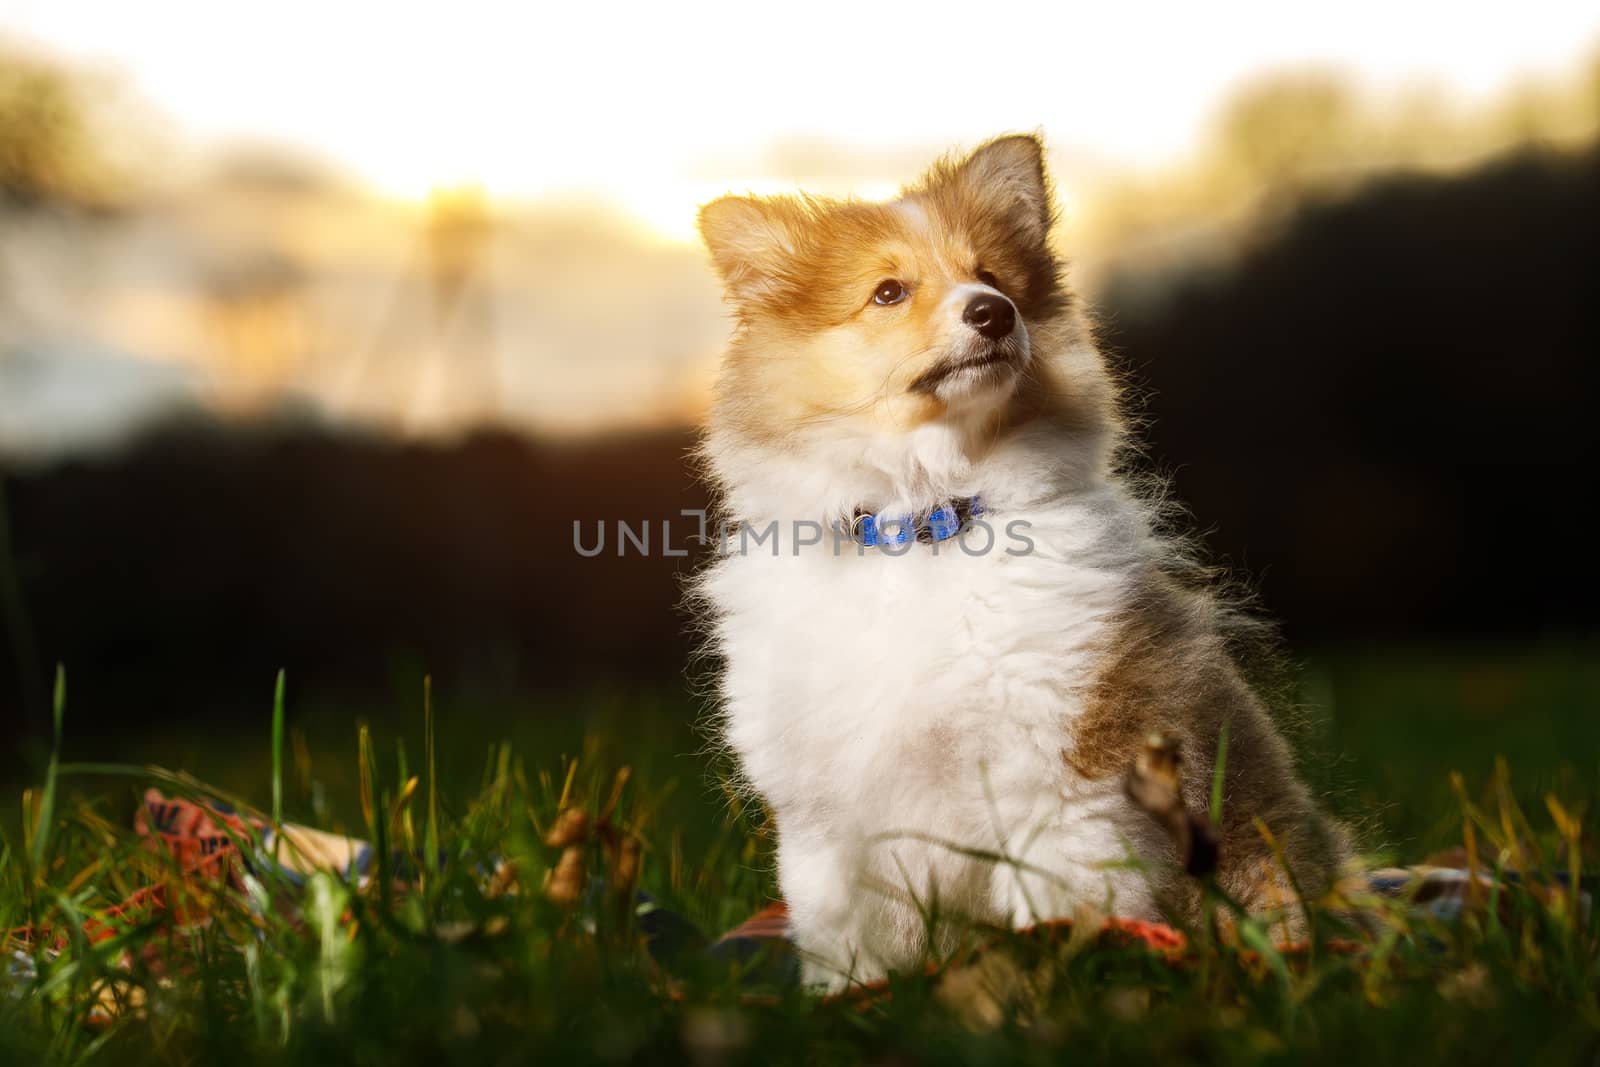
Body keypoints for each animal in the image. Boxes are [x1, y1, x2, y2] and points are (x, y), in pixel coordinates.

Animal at [694, 133, 1344, 991]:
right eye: (888, 292)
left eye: (994, 277)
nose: (992, 312)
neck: (926, 525)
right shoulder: (831, 820)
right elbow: (848, 940)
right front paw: (852, 996)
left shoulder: (1061, 776)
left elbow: (1062, 911)